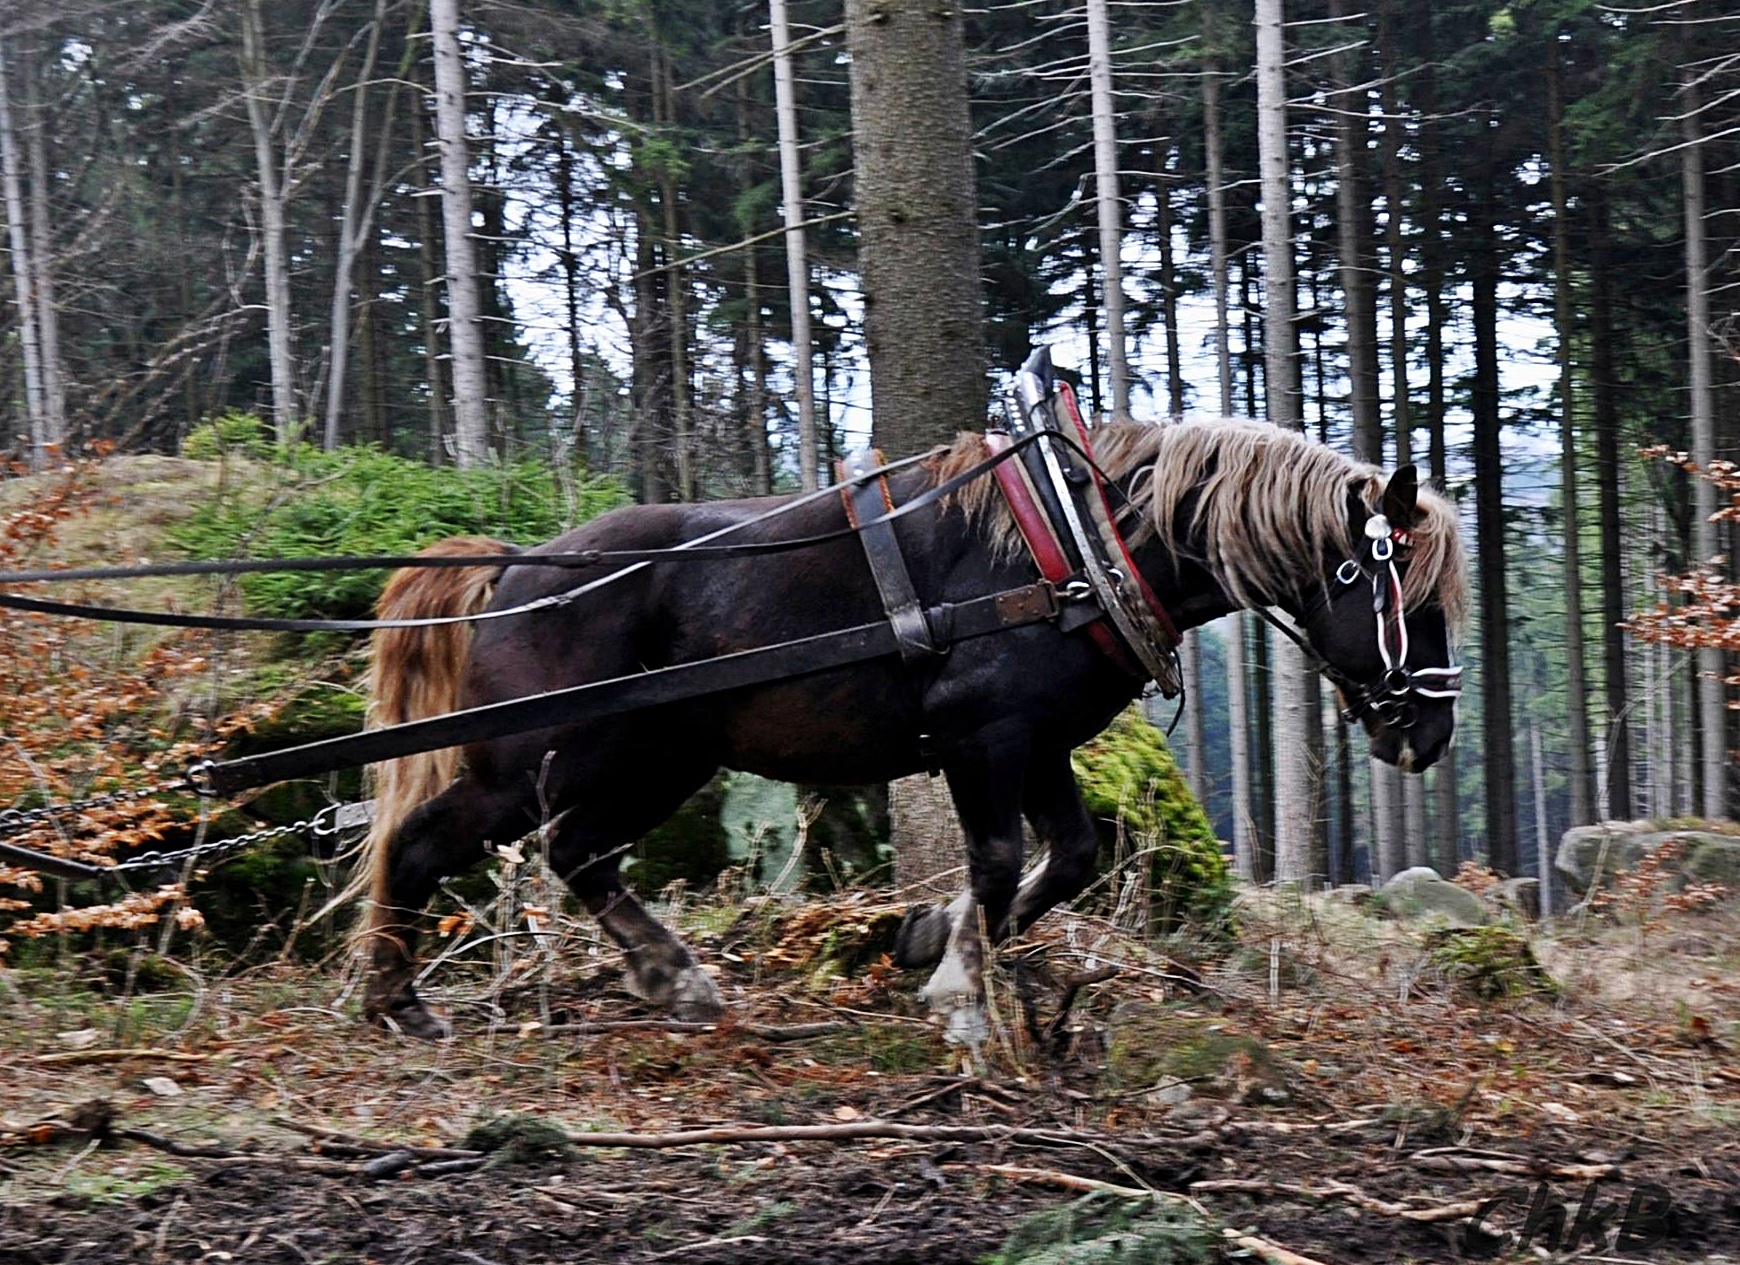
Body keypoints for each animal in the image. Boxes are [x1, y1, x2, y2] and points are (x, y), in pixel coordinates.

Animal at [353, 421, 1468, 1044]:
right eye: (1398, 589)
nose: (1429, 732)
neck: (1077, 545)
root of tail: (516, 566)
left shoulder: (1039, 742)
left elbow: (1067, 857)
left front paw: (931, 936)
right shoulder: (980, 734)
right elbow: (997, 860)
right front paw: (959, 985)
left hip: (658, 759)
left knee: (580, 851)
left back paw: (676, 977)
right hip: (533, 761)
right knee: (424, 844)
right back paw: (398, 999)